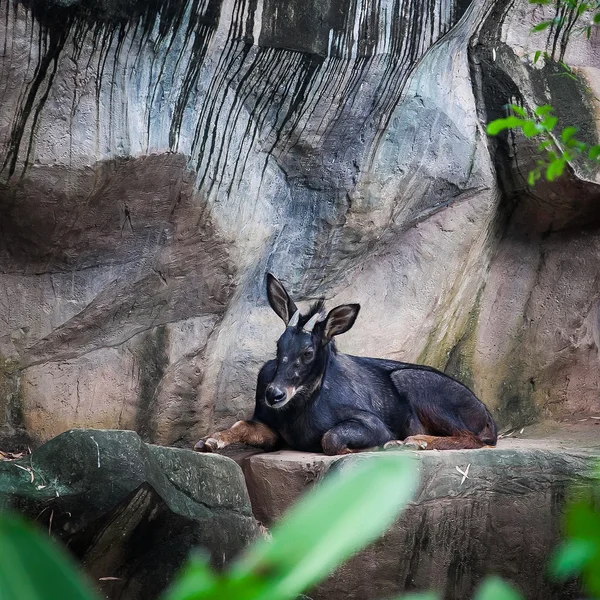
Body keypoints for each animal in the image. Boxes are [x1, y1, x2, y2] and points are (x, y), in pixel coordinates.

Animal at [196, 276, 496, 454]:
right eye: (279, 344)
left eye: (308, 351)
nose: (274, 394)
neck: (300, 411)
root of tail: (486, 415)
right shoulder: (272, 428)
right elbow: (241, 424)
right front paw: (209, 440)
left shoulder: (373, 423)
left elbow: (330, 438)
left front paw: (359, 449)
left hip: (411, 380)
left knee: (473, 438)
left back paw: (413, 441)